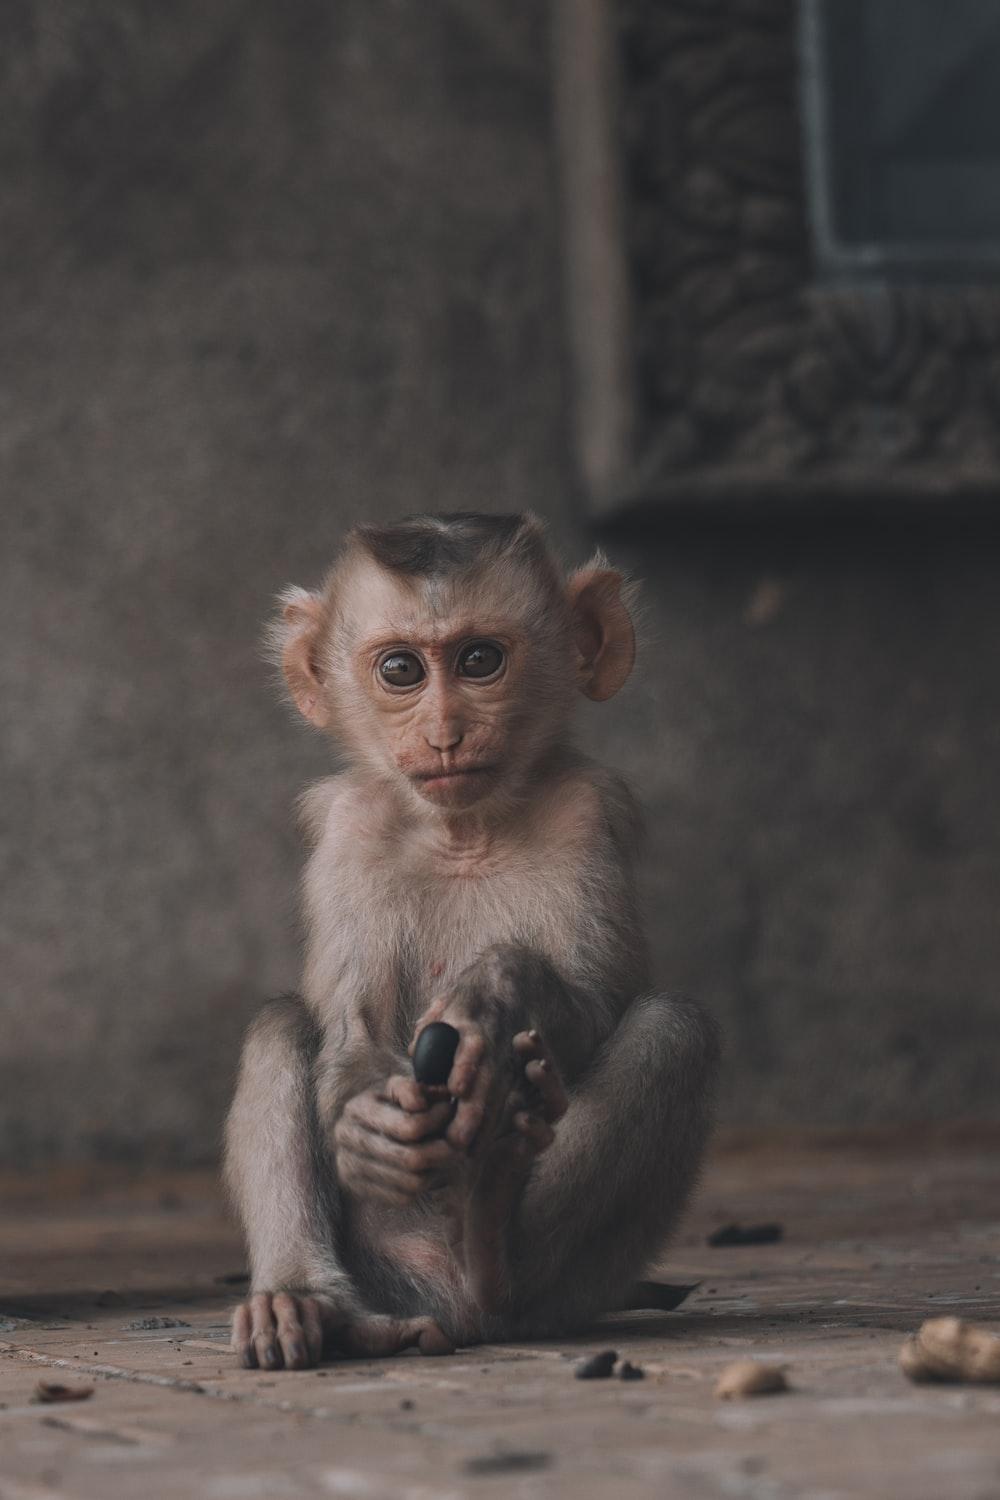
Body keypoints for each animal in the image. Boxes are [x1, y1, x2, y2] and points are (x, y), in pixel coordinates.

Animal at [224, 512, 720, 1369]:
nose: (445, 732)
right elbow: (349, 1029)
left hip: (582, 1287)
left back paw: (494, 1242)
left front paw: (497, 990)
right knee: (281, 1024)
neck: (464, 831)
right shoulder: (351, 829)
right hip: (382, 1263)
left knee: (673, 1029)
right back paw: (310, 1305)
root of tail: (445, 1307)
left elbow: (598, 1002)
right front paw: (367, 1126)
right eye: (400, 670)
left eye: (480, 660)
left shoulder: (585, 811)